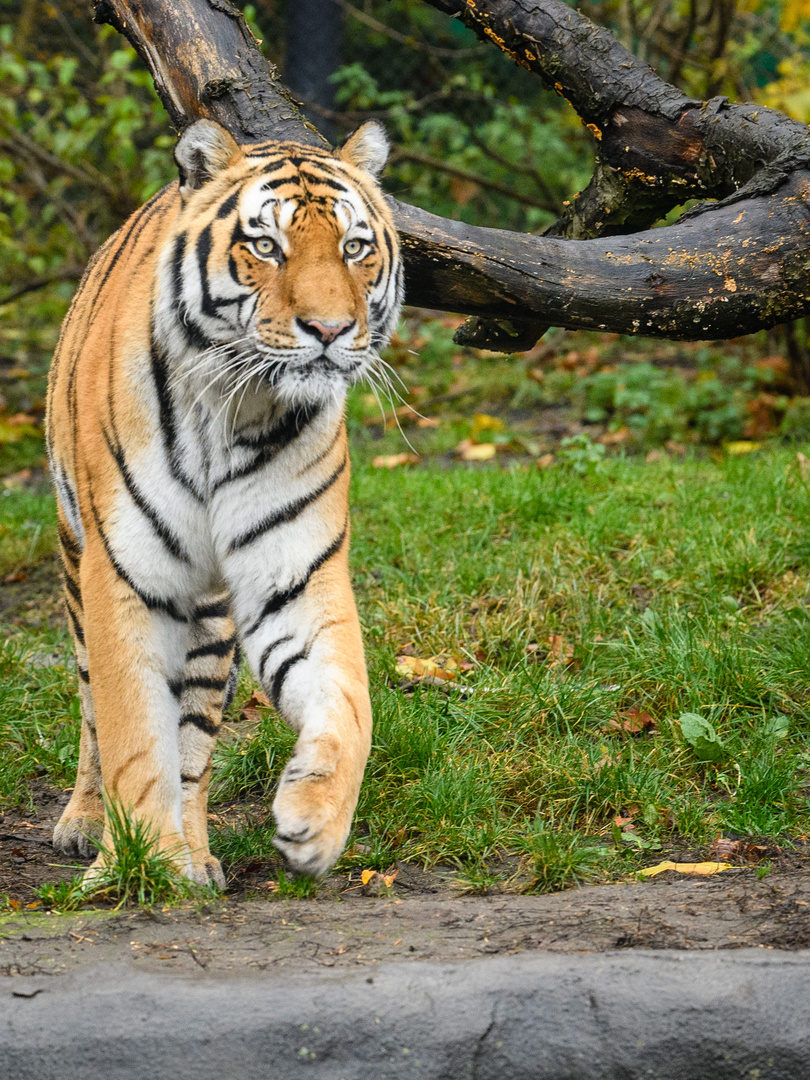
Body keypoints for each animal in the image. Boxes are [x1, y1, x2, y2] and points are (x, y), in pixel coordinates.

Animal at [45, 118, 406, 885]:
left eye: (354, 247)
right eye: (266, 246)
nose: (330, 331)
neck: (236, 407)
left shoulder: (293, 572)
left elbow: (350, 704)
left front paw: (314, 821)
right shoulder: (125, 575)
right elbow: (132, 731)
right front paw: (142, 863)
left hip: (212, 620)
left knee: (194, 733)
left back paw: (198, 857)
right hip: (73, 557)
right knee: (91, 704)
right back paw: (89, 827)